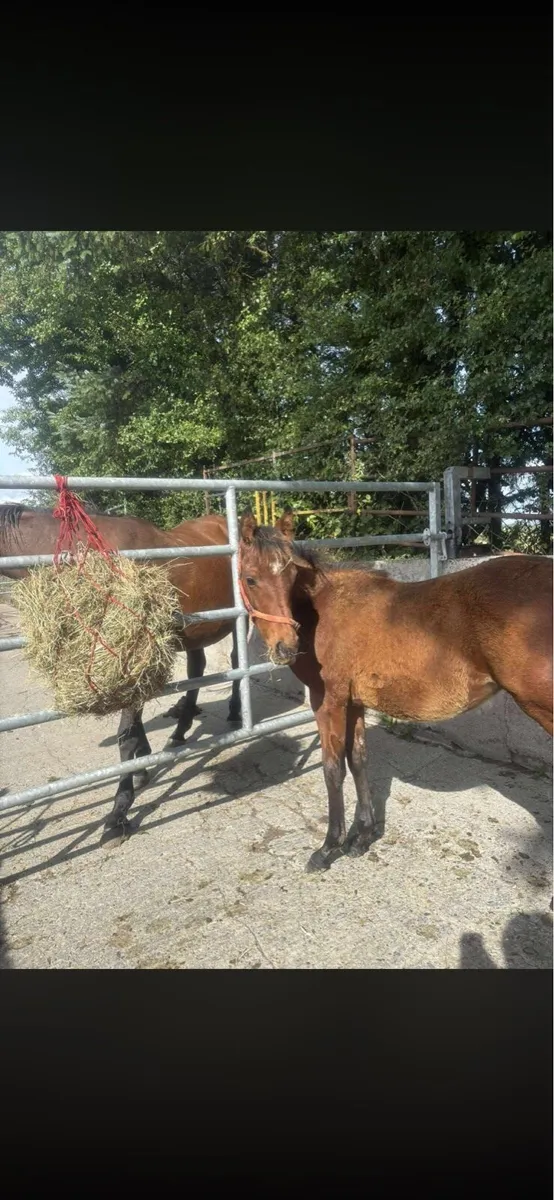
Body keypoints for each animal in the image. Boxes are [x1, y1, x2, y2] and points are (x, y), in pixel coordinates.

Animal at [0, 503, 242, 844]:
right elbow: (133, 729)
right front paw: (142, 767)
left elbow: (125, 738)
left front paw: (117, 814)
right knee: (197, 671)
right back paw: (179, 732)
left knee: (234, 660)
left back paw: (234, 713)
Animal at [238, 510, 553, 872]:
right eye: (251, 579)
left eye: (290, 578)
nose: (285, 647)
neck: (327, 609)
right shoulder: (354, 702)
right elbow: (358, 759)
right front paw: (361, 837)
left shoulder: (328, 700)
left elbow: (333, 768)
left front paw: (329, 847)